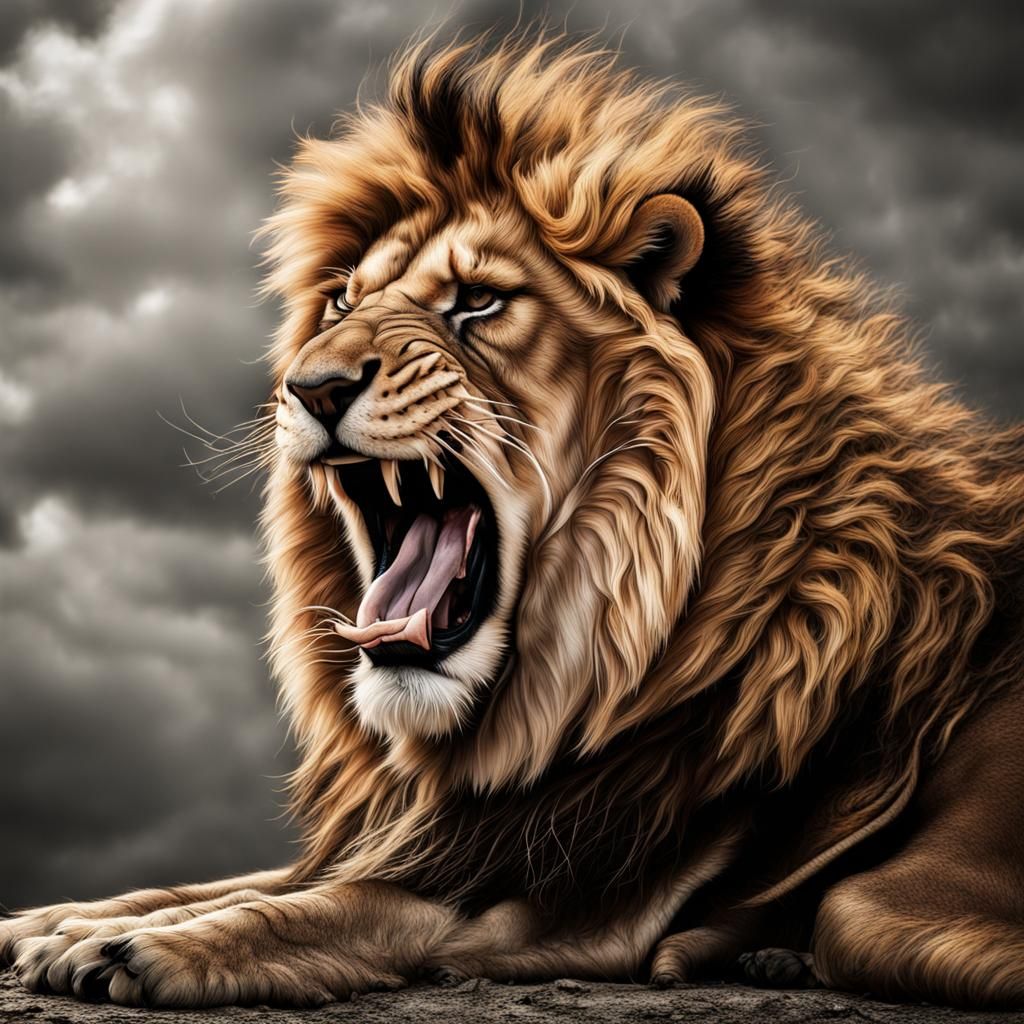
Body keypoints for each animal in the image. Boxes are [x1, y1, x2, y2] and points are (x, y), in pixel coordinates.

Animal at [3, 31, 1024, 1010]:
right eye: (341, 301)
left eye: (478, 301)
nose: (312, 386)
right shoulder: (450, 834)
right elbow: (240, 879)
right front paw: (58, 920)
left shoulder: (571, 901)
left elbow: (341, 902)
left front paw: (145, 948)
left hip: (874, 906)